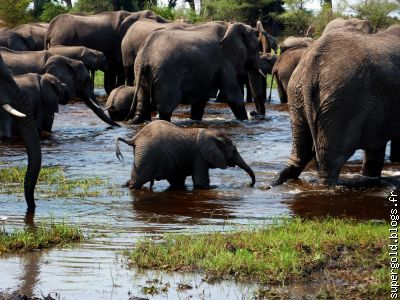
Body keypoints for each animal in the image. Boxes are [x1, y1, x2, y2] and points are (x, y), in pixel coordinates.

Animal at [114, 120, 255, 189]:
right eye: (233, 151)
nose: (249, 185)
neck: (211, 133)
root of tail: (135, 138)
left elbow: (178, 180)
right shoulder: (199, 156)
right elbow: (200, 181)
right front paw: (212, 187)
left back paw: (124, 185)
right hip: (147, 155)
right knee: (138, 182)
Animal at [128, 21, 266, 123]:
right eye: (257, 48)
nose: (253, 113)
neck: (230, 26)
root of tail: (145, 54)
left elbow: (200, 100)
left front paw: (195, 120)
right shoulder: (225, 62)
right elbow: (233, 96)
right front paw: (244, 121)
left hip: (141, 72)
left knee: (143, 102)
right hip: (166, 77)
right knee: (165, 109)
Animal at [272, 25, 400, 186]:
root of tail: (311, 67)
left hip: (297, 92)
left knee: (299, 154)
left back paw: (275, 182)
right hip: (341, 102)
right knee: (330, 162)